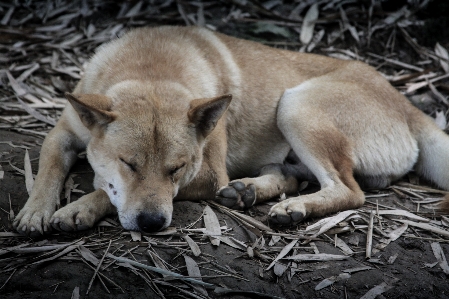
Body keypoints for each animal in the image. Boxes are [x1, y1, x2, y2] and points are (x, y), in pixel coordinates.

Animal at [13, 26, 448, 237]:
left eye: (177, 169)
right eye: (129, 163)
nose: (152, 224)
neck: (151, 68)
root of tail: (407, 102)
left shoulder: (207, 174)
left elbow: (106, 191)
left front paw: (80, 207)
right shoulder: (62, 132)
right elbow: (49, 170)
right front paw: (35, 212)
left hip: (295, 105)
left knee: (349, 190)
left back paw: (292, 207)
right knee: (296, 176)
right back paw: (251, 190)